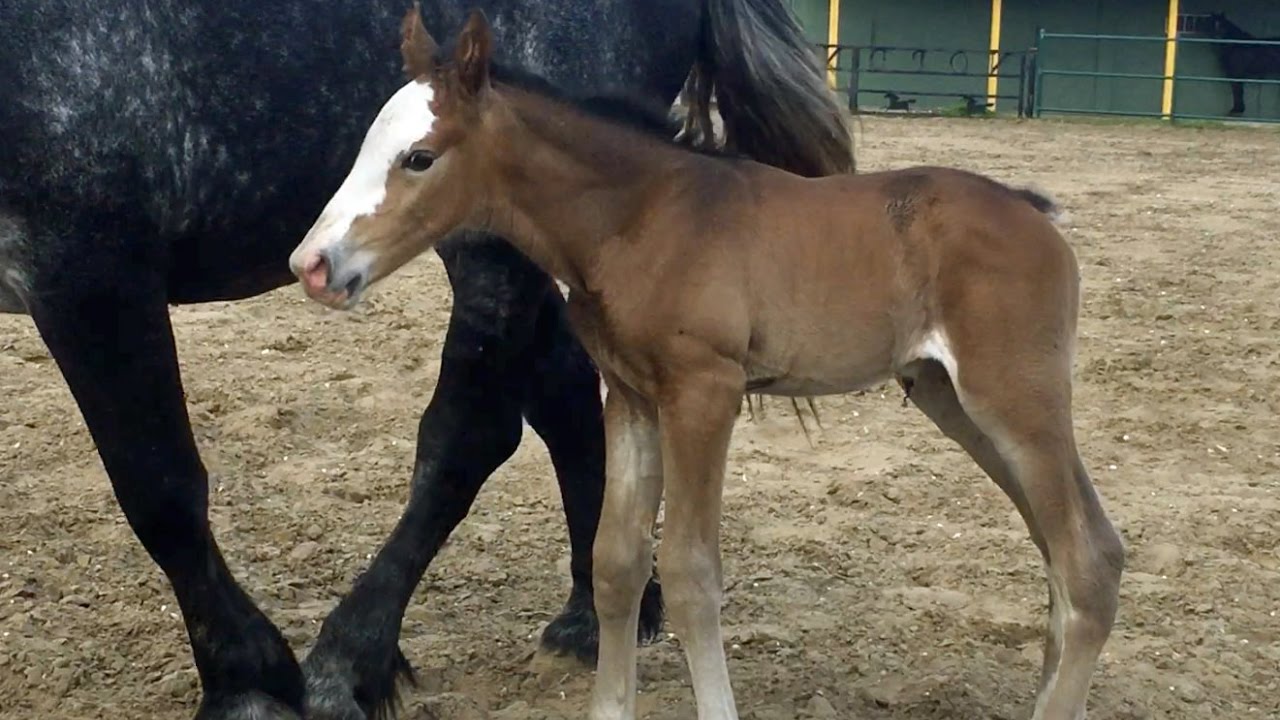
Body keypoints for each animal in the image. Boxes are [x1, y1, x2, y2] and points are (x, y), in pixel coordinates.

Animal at [288, 7, 1121, 717]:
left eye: (419, 157)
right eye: (363, 145)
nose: (313, 265)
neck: (643, 214)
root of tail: (1036, 214)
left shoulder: (704, 392)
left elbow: (691, 573)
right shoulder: (632, 396)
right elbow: (618, 563)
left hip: (1016, 401)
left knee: (1085, 560)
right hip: (952, 399)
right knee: (1072, 555)